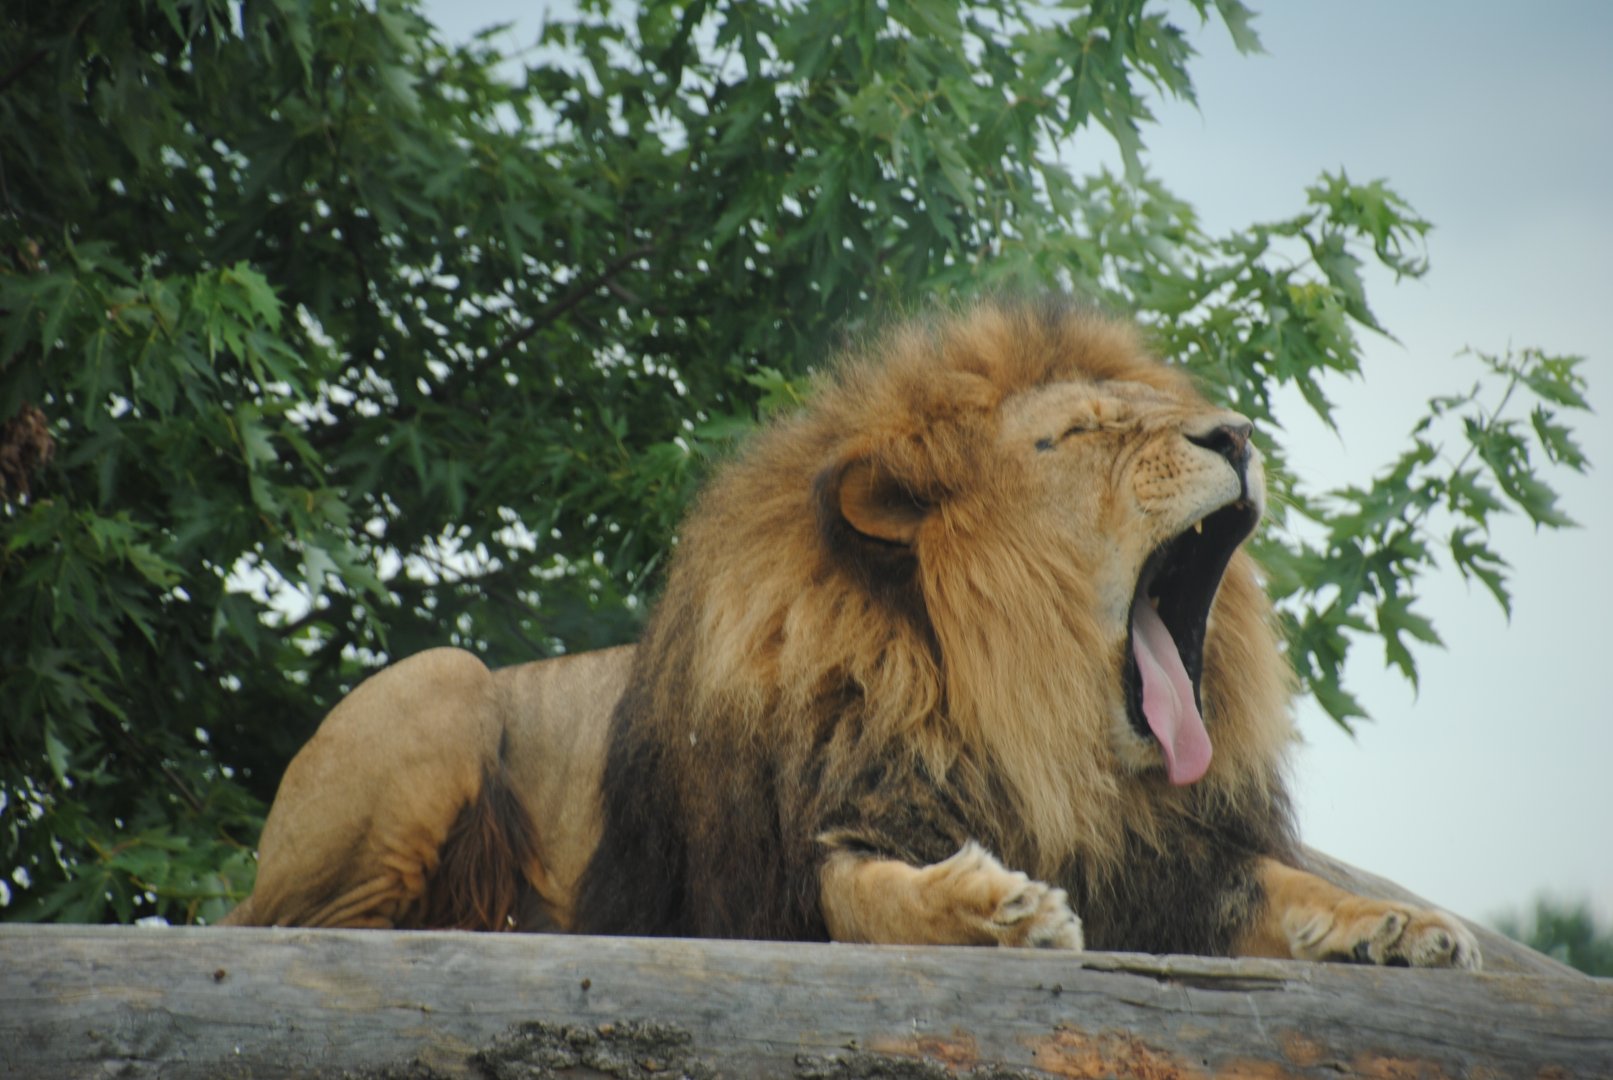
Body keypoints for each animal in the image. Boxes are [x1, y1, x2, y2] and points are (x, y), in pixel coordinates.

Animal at [225, 296, 1479, 969]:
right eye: (1076, 434)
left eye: (1166, 415)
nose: (1236, 434)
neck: (1040, 738)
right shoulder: (789, 864)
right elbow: (877, 894)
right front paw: (993, 907)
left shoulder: (1167, 865)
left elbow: (1286, 890)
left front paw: (1397, 924)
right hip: (436, 684)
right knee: (300, 923)